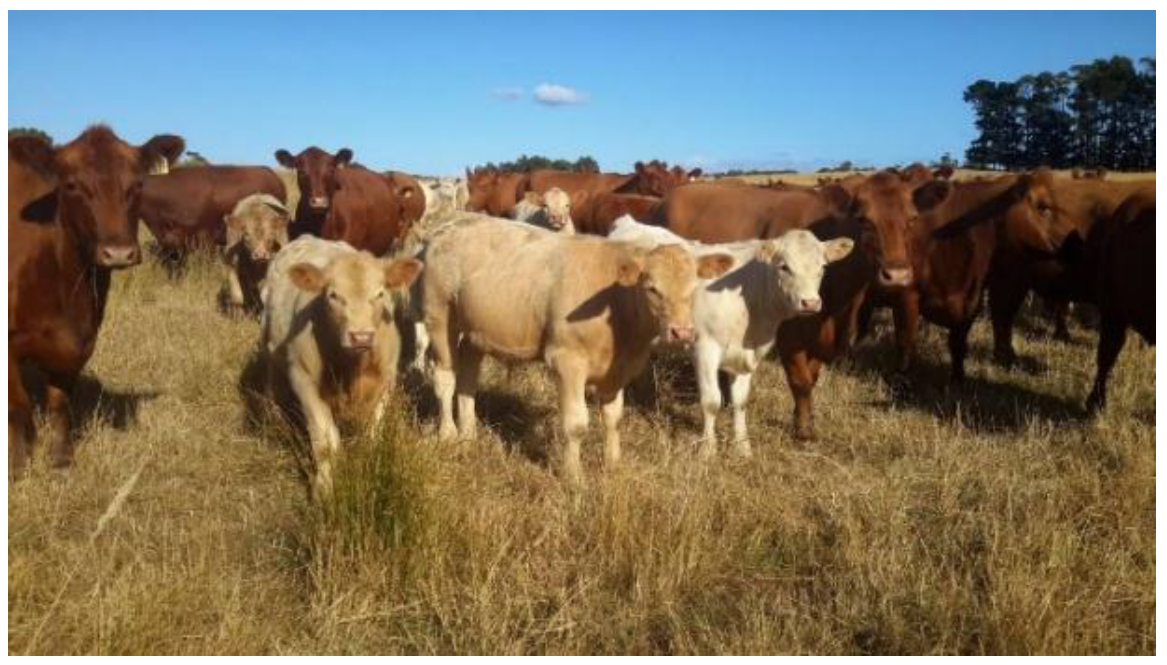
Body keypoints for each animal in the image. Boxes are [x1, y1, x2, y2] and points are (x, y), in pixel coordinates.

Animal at [9, 126, 185, 475]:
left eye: (137, 185)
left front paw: (62, 460)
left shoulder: (79, 341)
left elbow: (60, 403)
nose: (118, 253)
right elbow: (17, 405)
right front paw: (18, 465)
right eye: (71, 185)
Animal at [260, 236, 423, 495]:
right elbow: (325, 443)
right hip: (271, 351)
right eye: (333, 295)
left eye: (379, 293)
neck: (351, 368)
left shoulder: (384, 382)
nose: (361, 336)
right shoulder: (305, 380)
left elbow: (372, 436)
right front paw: (324, 489)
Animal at [420, 213, 733, 485]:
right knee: (445, 377)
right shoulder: (566, 360)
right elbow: (576, 423)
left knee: (467, 377)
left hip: (475, 330)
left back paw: (468, 435)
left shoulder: (618, 370)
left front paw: (613, 464)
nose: (682, 332)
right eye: (652, 288)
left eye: (694, 287)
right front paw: (574, 477)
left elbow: (613, 417)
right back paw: (449, 434)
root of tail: (453, 222)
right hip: (439, 315)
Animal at [608, 216, 853, 457]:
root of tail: (628, 221)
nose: (810, 303)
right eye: (784, 267)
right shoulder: (704, 349)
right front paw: (708, 449)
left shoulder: (747, 355)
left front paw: (743, 446)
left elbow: (740, 402)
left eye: (823, 266)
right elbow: (711, 401)